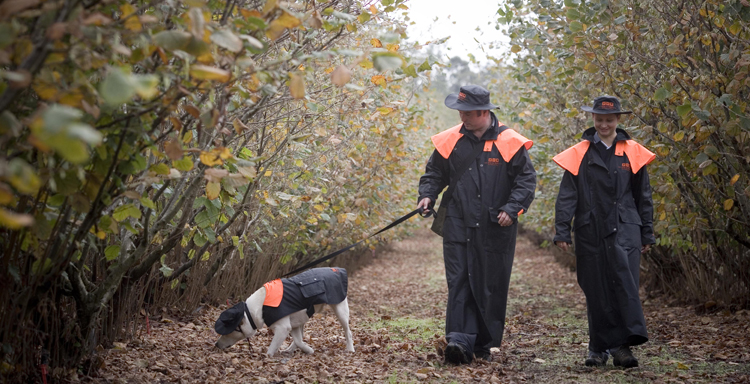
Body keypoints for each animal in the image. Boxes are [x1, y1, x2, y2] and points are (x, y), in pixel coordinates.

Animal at [214, 266, 356, 356]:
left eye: (228, 332)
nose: (216, 345)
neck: (256, 308)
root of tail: (337, 269)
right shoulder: (291, 325)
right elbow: (298, 340)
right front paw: (308, 349)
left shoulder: (283, 328)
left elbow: (271, 349)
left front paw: (267, 357)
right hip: (301, 318)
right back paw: (290, 349)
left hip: (340, 311)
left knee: (348, 332)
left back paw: (350, 349)